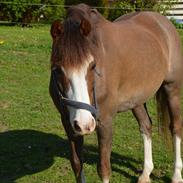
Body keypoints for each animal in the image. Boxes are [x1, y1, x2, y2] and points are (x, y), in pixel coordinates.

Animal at [49, 3, 183, 183]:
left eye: (92, 66)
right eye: (57, 69)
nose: (85, 124)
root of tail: (163, 22)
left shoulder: (105, 122)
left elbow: (104, 169)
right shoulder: (68, 124)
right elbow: (77, 165)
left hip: (172, 89)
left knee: (176, 127)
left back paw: (176, 175)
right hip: (137, 100)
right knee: (146, 126)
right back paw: (145, 173)